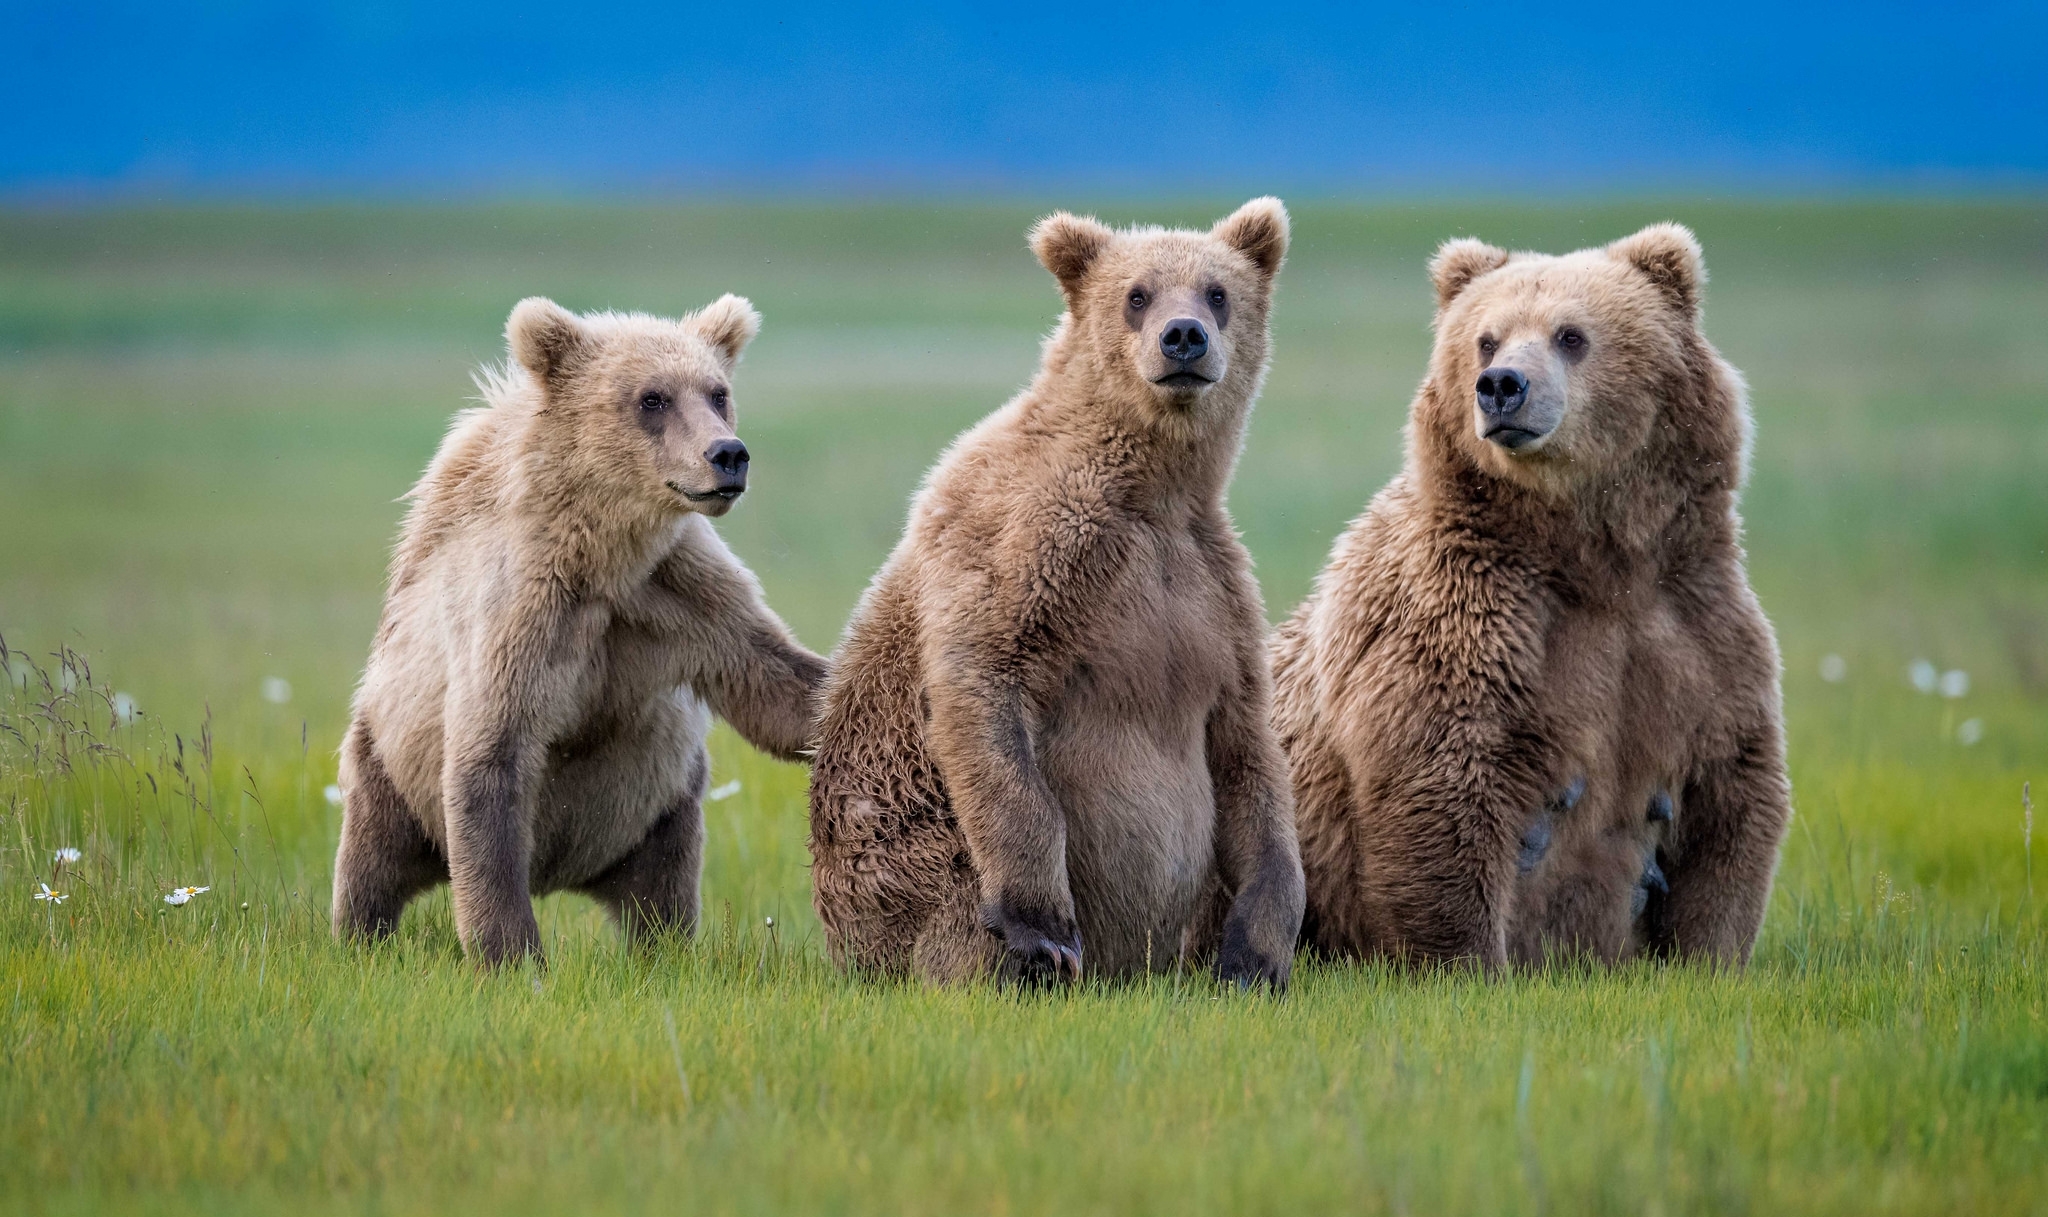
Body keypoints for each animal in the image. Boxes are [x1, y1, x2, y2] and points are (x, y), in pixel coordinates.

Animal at [327, 290, 823, 958]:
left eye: (717, 392)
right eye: (652, 398)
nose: (728, 455)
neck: (603, 561)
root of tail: (566, 876)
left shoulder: (684, 598)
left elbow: (776, 687)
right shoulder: (522, 615)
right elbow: (491, 758)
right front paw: (510, 952)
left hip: (657, 807)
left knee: (663, 884)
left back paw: (665, 948)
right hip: (389, 758)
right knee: (372, 860)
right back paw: (361, 934)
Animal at [806, 196, 1302, 983]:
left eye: (1218, 292)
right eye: (1137, 295)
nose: (1183, 337)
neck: (1152, 490)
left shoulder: (1214, 589)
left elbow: (1246, 749)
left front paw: (1254, 952)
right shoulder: (1032, 542)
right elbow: (986, 684)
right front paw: (1042, 928)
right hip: (906, 862)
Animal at [1277, 222, 1794, 967]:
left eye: (1571, 335)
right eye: (1486, 338)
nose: (1501, 386)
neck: (1593, 561)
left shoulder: (1697, 630)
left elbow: (1729, 796)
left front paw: (1709, 959)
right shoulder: (1467, 623)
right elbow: (1444, 788)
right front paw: (1467, 962)